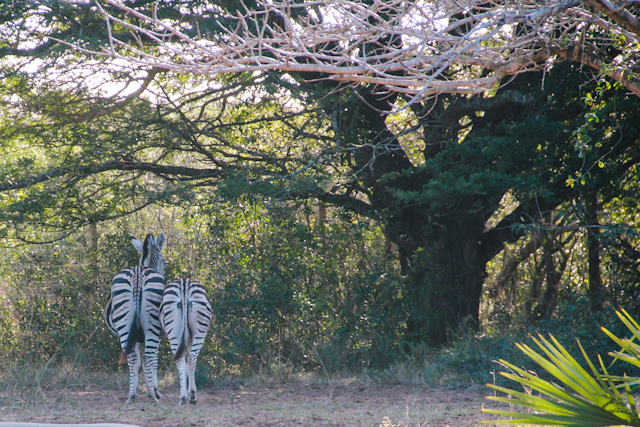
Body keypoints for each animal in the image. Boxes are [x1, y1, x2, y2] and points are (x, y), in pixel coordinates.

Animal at [104, 234, 166, 404]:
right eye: (164, 262)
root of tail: (138, 274)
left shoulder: (135, 336)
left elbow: (137, 361)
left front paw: (137, 389)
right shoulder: (158, 336)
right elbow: (154, 361)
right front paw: (156, 390)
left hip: (125, 323)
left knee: (132, 357)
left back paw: (131, 396)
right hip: (152, 326)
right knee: (148, 357)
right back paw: (153, 396)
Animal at [160, 276, 212, 406]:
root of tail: (184, 283)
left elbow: (185, 364)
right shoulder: (189, 338)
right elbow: (188, 363)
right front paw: (189, 393)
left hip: (174, 331)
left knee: (182, 359)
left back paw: (184, 397)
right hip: (199, 331)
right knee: (192, 358)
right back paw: (192, 395)